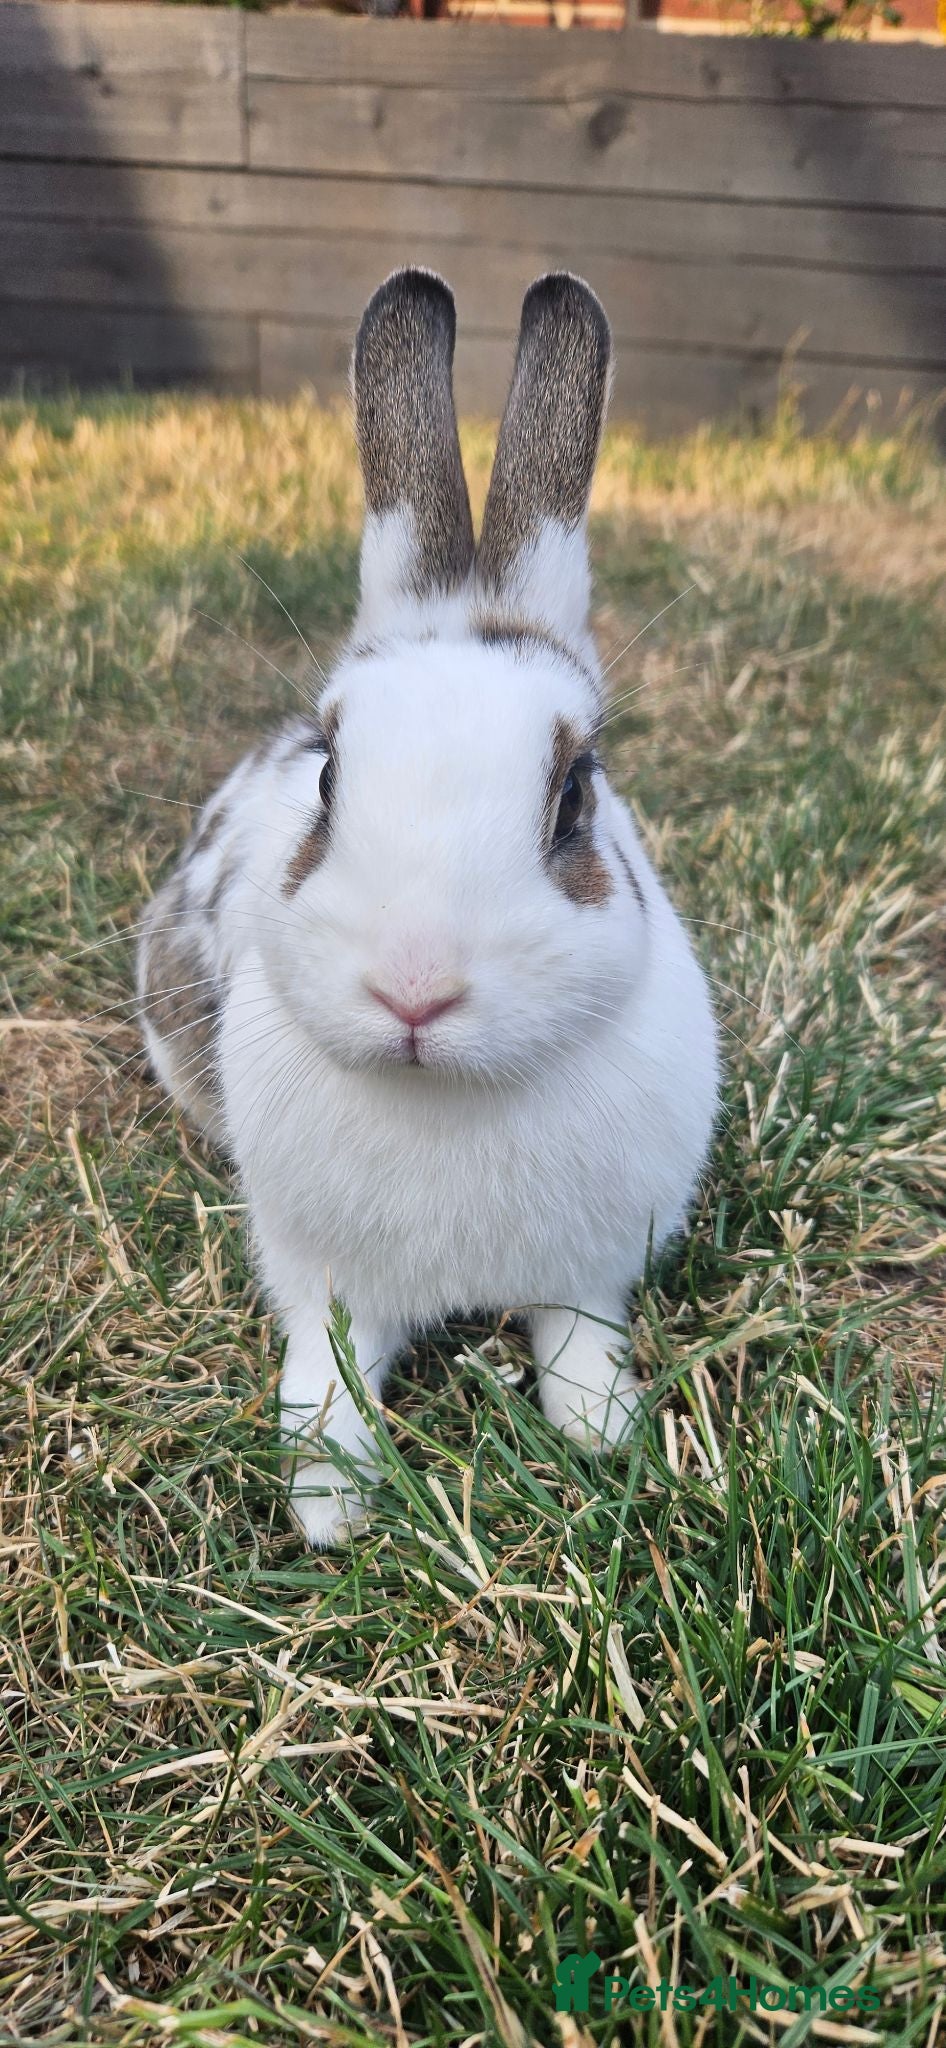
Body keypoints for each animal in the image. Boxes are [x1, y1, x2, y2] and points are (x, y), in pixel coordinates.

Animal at [138, 269, 719, 1548]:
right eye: (327, 776)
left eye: (573, 794)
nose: (413, 989)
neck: (444, 1100)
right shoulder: (322, 1275)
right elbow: (329, 1371)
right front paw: (327, 1504)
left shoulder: (588, 1268)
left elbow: (579, 1341)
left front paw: (603, 1432)